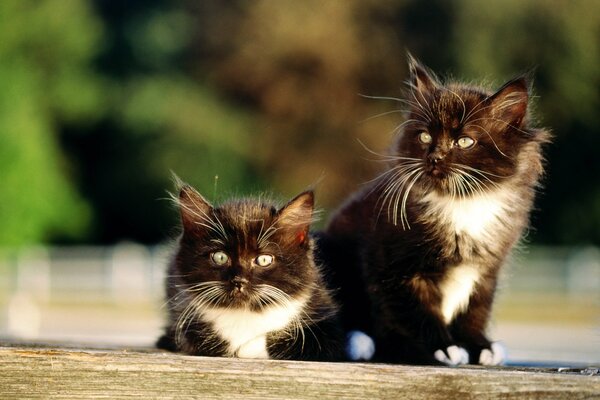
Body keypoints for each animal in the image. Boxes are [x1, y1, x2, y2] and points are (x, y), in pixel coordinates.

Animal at [158, 183, 342, 360]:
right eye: (220, 257)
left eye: (264, 260)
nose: (239, 280)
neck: (246, 314)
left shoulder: (327, 327)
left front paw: (248, 348)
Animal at [322, 54, 552, 366]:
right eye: (424, 138)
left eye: (464, 141)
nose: (434, 157)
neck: (461, 204)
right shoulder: (395, 268)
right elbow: (417, 312)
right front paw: (441, 347)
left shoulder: (485, 271)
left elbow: (475, 312)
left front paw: (479, 346)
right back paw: (361, 342)